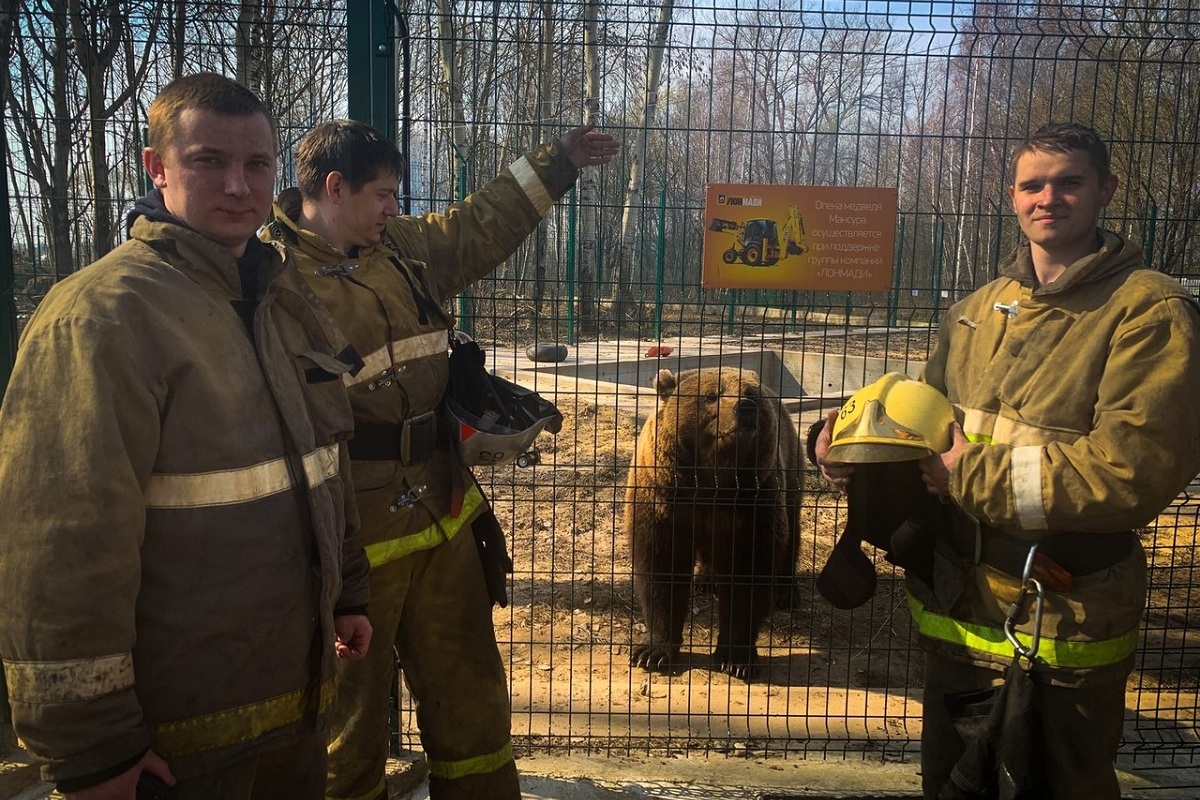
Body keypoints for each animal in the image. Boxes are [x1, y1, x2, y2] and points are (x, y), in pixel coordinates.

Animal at [624, 367, 801, 681]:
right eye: (711, 395)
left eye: (750, 392)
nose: (745, 407)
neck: (712, 477)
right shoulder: (665, 501)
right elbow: (662, 571)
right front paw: (652, 652)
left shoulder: (752, 504)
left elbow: (747, 576)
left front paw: (736, 658)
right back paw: (706, 579)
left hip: (788, 466)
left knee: (791, 529)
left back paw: (786, 591)